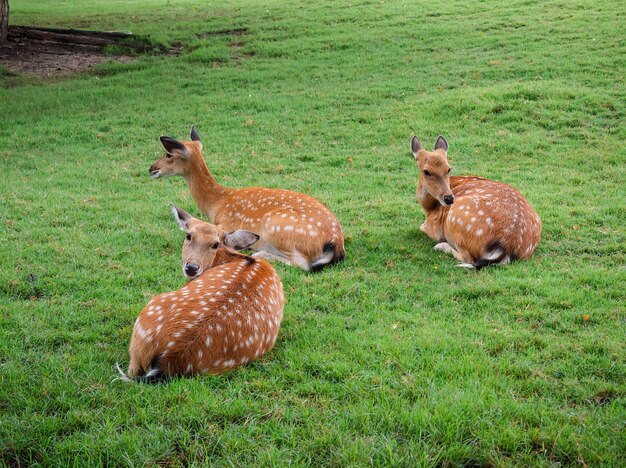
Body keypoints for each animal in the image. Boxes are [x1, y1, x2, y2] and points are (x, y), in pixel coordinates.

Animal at [149, 126, 346, 272]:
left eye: (168, 154)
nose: (151, 169)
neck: (217, 204)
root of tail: (337, 243)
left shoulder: (225, 227)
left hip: (276, 225)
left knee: (304, 264)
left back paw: (258, 253)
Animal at [410, 133, 540, 268]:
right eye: (426, 171)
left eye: (448, 169)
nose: (449, 198)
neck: (429, 208)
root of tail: (505, 247)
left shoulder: (433, 226)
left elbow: (422, 227)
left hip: (457, 216)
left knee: (468, 259)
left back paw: (440, 246)